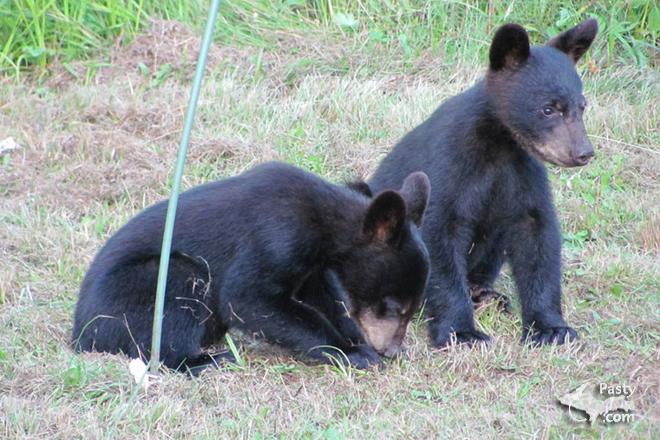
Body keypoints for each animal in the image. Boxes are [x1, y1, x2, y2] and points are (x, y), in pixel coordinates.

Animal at [72, 161, 431, 374]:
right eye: (394, 307)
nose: (392, 351)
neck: (323, 223)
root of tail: (79, 333)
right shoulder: (273, 238)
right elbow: (247, 298)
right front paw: (353, 353)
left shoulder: (311, 265)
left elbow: (321, 296)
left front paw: (355, 339)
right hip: (136, 291)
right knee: (176, 294)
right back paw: (210, 359)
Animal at [368, 19, 599, 347]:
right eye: (548, 108)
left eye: (582, 105)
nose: (583, 153)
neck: (501, 144)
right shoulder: (448, 165)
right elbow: (439, 233)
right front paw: (462, 331)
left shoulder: (522, 174)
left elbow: (537, 235)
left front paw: (551, 328)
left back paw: (485, 294)